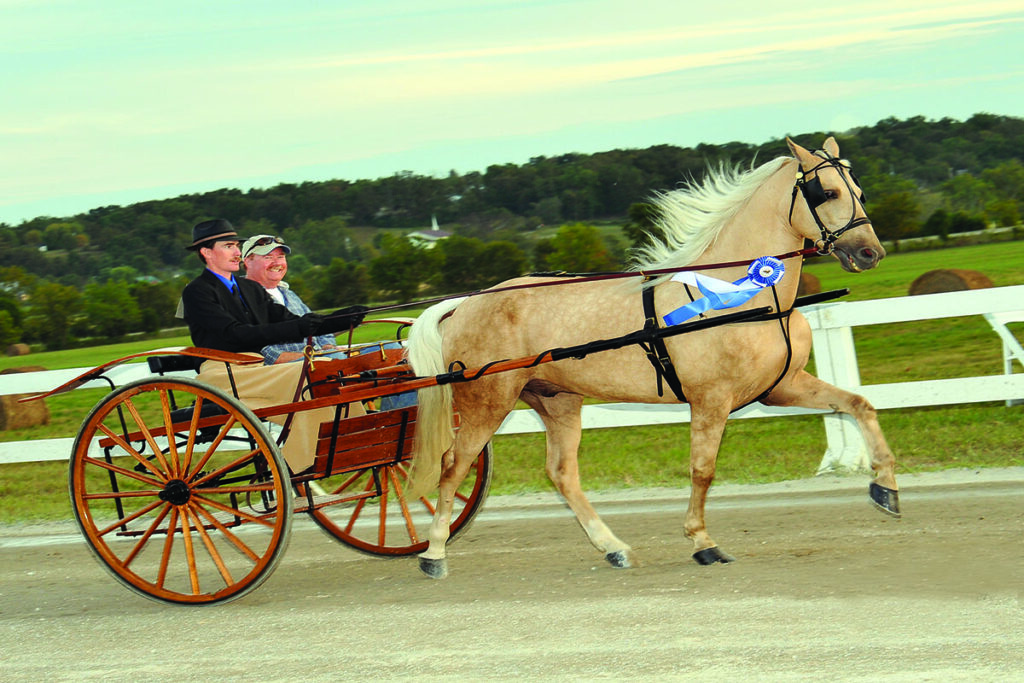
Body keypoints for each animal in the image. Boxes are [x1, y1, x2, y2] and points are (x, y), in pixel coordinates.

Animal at [403, 137, 901, 577]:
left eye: (858, 192)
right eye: (827, 192)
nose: (870, 252)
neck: (742, 295)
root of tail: (463, 304)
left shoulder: (782, 387)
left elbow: (859, 405)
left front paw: (886, 487)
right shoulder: (710, 400)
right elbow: (702, 470)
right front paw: (703, 542)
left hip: (557, 399)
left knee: (561, 473)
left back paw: (614, 548)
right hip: (487, 401)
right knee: (453, 467)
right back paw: (434, 553)